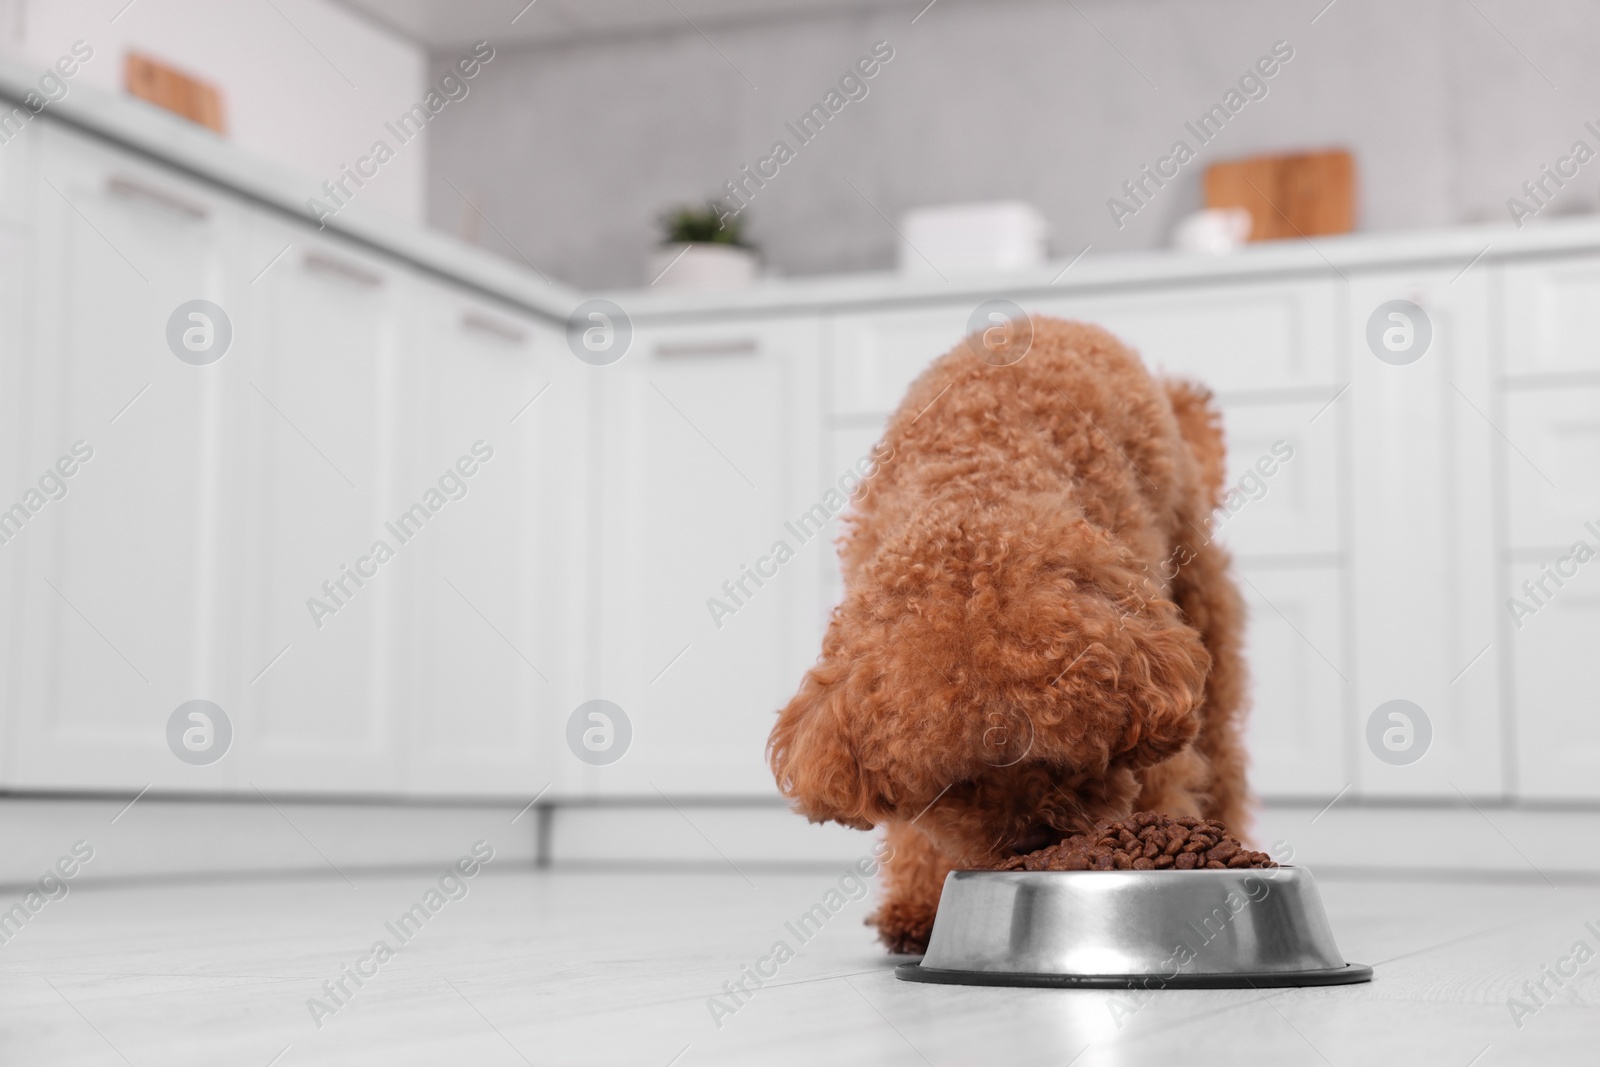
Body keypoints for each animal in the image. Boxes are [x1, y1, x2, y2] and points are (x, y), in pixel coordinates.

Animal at [764, 315, 1248, 953]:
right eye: (957, 784)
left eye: (1068, 760)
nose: (1031, 843)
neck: (978, 482)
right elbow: (916, 834)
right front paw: (921, 910)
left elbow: (1162, 782)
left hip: (1199, 595)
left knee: (1221, 746)